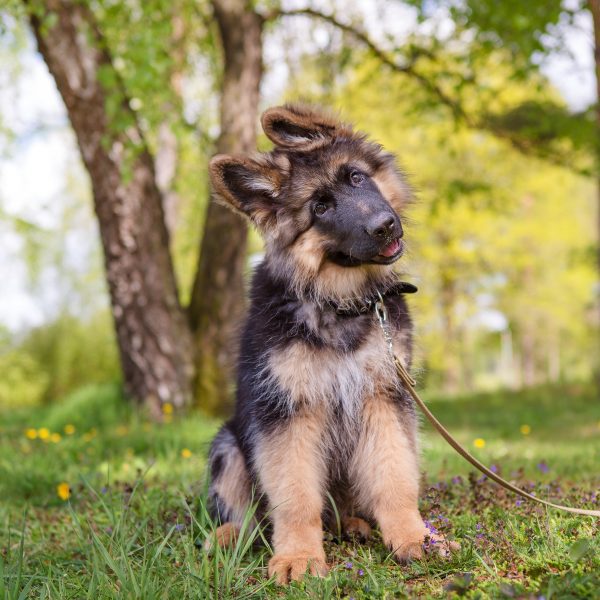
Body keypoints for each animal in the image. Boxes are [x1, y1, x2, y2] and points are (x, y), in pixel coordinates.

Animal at [205, 105, 454, 584]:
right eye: (320, 207)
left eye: (356, 177)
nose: (385, 227)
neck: (340, 302)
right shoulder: (288, 411)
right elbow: (296, 495)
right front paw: (299, 556)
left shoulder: (382, 397)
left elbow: (395, 475)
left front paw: (413, 537)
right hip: (229, 447)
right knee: (250, 516)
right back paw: (229, 535)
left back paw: (355, 524)